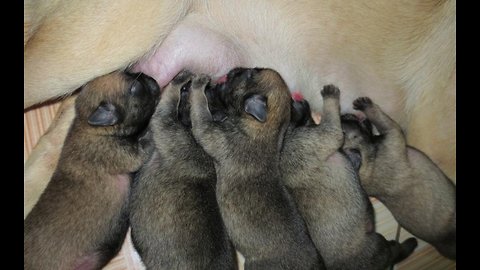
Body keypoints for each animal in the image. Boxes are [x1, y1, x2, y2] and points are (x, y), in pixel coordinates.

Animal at [188, 67, 322, 268]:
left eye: (251, 74)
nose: (233, 70)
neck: (266, 127)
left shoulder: (210, 132)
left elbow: (200, 111)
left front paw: (198, 86)